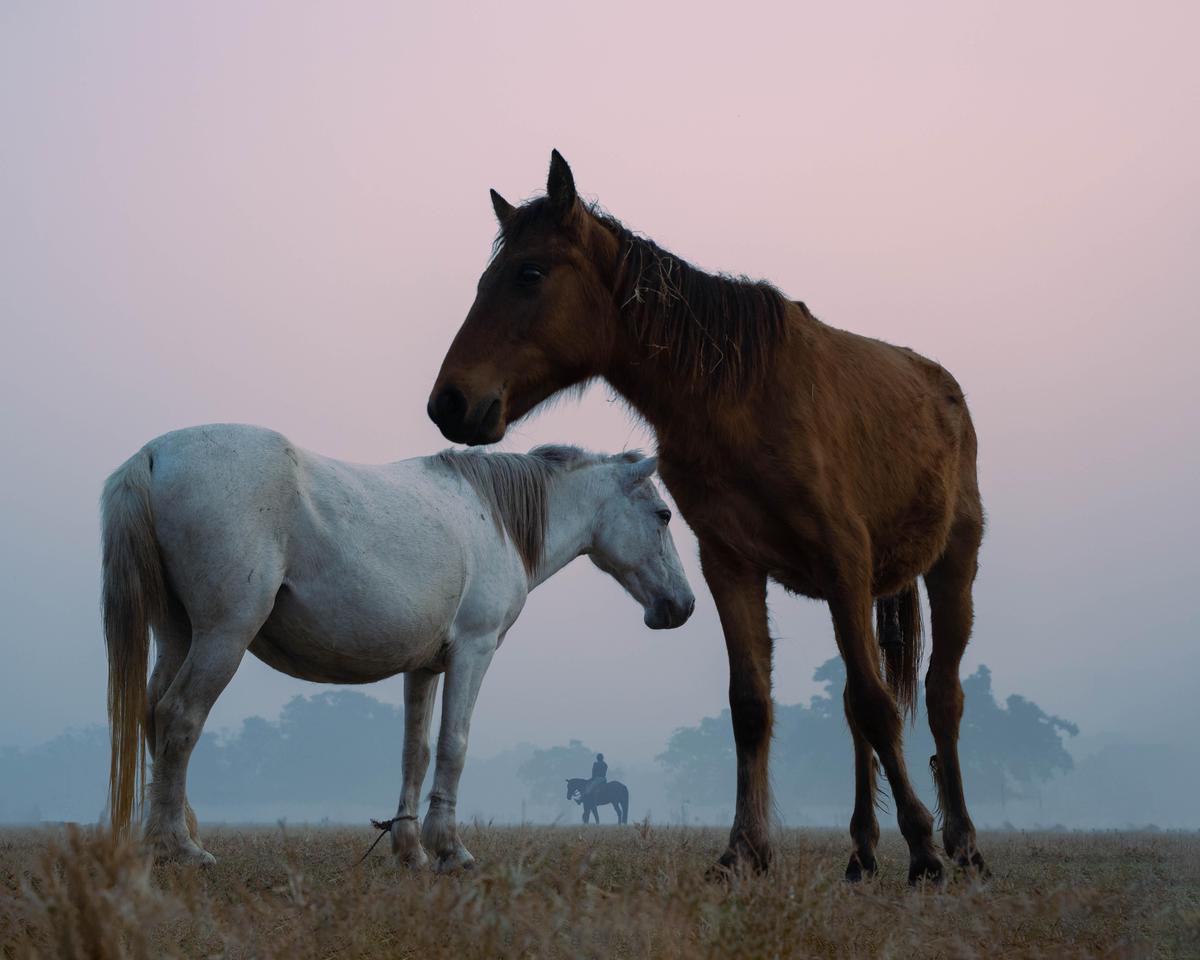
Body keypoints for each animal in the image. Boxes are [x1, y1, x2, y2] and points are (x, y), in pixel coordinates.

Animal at [101, 424, 694, 870]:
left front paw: (411, 850)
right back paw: (180, 848)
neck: (494, 520)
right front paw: (450, 849)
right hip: (224, 635)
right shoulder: (473, 652)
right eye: (663, 515)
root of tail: (154, 455)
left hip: (179, 633)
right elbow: (454, 744)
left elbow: (416, 751)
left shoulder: (424, 667)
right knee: (179, 716)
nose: (682, 606)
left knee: (154, 713)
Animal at [428, 151, 987, 884]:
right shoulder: (730, 563)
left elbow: (877, 704)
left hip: (952, 565)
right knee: (852, 708)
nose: (449, 403)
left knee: (942, 698)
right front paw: (743, 851)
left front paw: (922, 849)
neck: (739, 395)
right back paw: (863, 850)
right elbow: (753, 707)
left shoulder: (844, 562)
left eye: (530, 273)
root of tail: (944, 388)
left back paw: (963, 843)